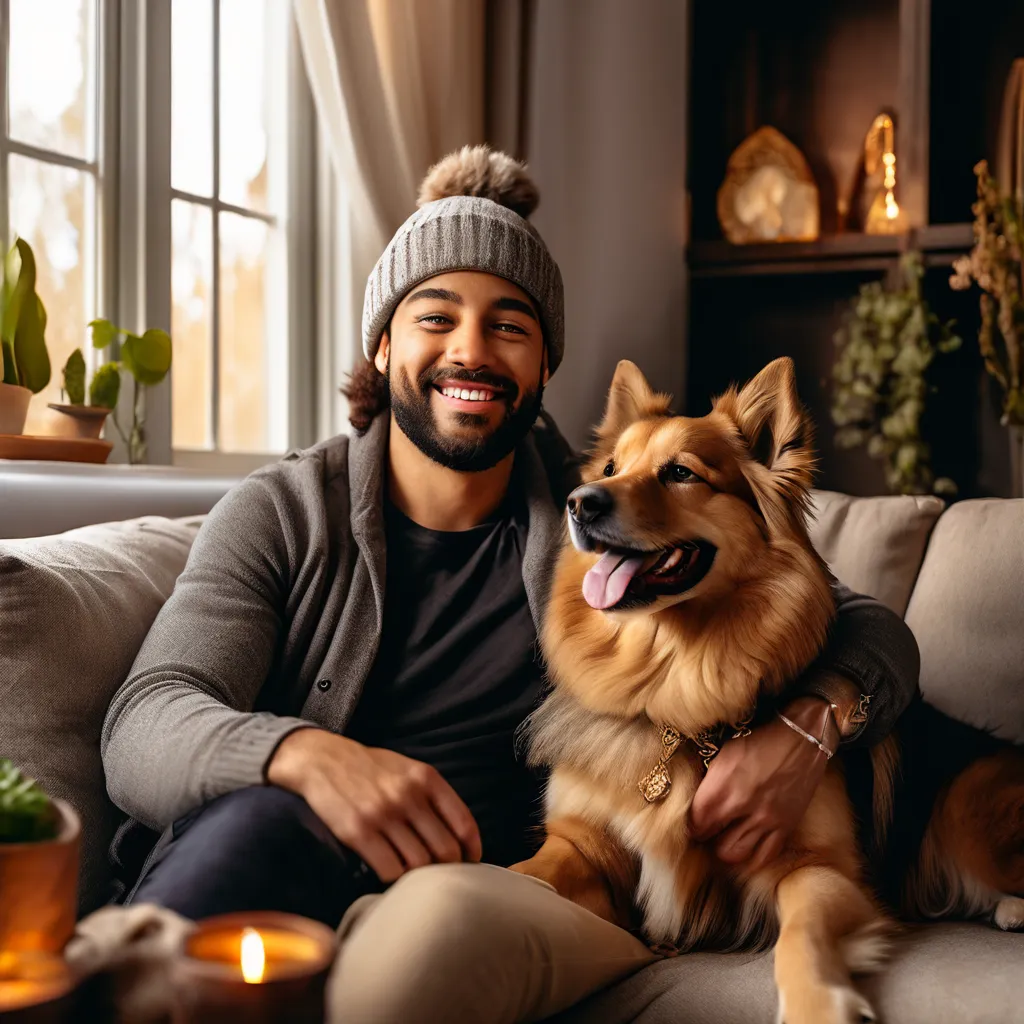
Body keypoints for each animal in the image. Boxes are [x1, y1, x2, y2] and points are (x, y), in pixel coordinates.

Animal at [512, 358, 1024, 1024]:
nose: (580, 503)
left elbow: (801, 931)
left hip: (968, 804)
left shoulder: (822, 870)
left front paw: (817, 1006)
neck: (675, 693)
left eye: (680, 473)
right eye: (609, 469)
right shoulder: (582, 844)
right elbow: (522, 874)